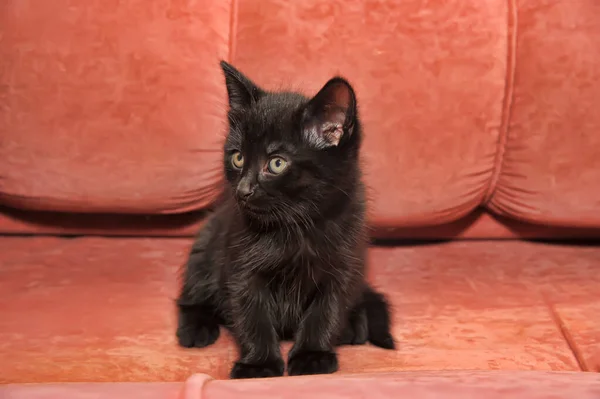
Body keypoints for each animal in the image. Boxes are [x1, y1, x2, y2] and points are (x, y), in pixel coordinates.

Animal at [176, 61, 396, 380]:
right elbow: (252, 315)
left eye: (277, 163)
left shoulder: (343, 266)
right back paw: (196, 328)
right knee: (193, 294)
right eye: (238, 158)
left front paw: (312, 355)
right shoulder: (241, 267)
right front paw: (259, 364)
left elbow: (326, 311)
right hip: (206, 244)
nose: (243, 191)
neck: (295, 226)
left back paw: (352, 327)